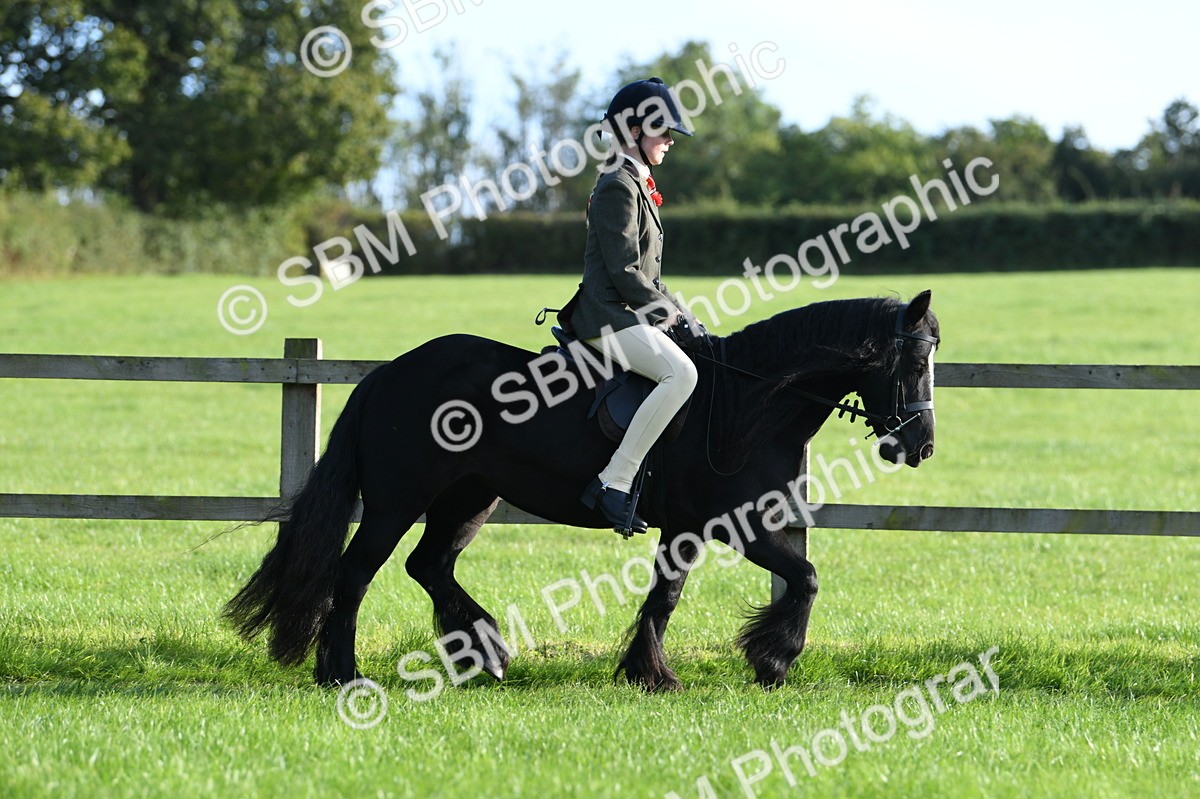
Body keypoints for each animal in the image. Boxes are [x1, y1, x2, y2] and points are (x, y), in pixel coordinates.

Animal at [224, 290, 939, 691]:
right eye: (911, 359)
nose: (920, 445)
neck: (749, 403)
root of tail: (391, 372)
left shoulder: (688, 529)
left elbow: (665, 597)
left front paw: (648, 673)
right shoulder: (735, 523)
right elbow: (805, 578)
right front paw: (772, 661)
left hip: (468, 497)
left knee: (429, 565)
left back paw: (486, 653)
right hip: (398, 502)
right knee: (354, 576)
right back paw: (341, 674)